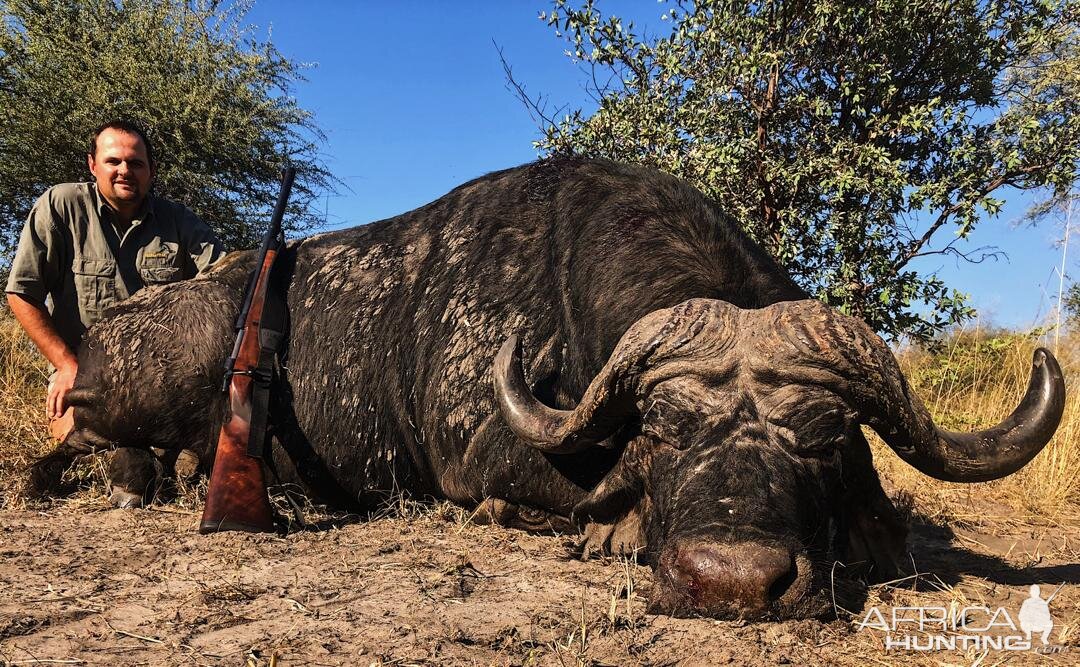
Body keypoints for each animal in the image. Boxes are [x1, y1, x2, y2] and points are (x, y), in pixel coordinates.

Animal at [29, 155, 1067, 617]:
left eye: (820, 436)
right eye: (663, 429)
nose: (731, 580)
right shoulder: (482, 460)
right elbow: (572, 494)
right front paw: (611, 526)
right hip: (141, 375)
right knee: (94, 440)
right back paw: (131, 477)